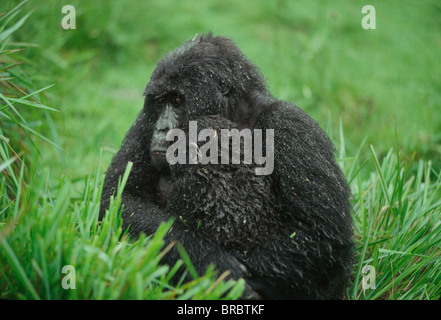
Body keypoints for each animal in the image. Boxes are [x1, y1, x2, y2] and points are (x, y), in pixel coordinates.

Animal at [99, 33, 354, 300]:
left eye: (177, 100)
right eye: (159, 102)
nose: (161, 128)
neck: (234, 113)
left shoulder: (289, 122)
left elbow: (320, 233)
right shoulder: (144, 121)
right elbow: (119, 199)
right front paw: (208, 260)